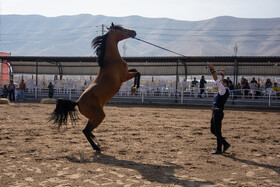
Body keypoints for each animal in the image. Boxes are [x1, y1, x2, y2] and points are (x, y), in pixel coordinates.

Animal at [49, 23, 141, 152]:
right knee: (86, 130)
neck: (111, 60)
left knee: (88, 130)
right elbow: (138, 73)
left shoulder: (127, 73)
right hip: (99, 116)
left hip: (93, 117)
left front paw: (134, 87)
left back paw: (98, 142)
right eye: (120, 29)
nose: (134, 32)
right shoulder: (124, 76)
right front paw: (134, 88)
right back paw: (96, 147)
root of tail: (77, 102)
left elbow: (136, 70)